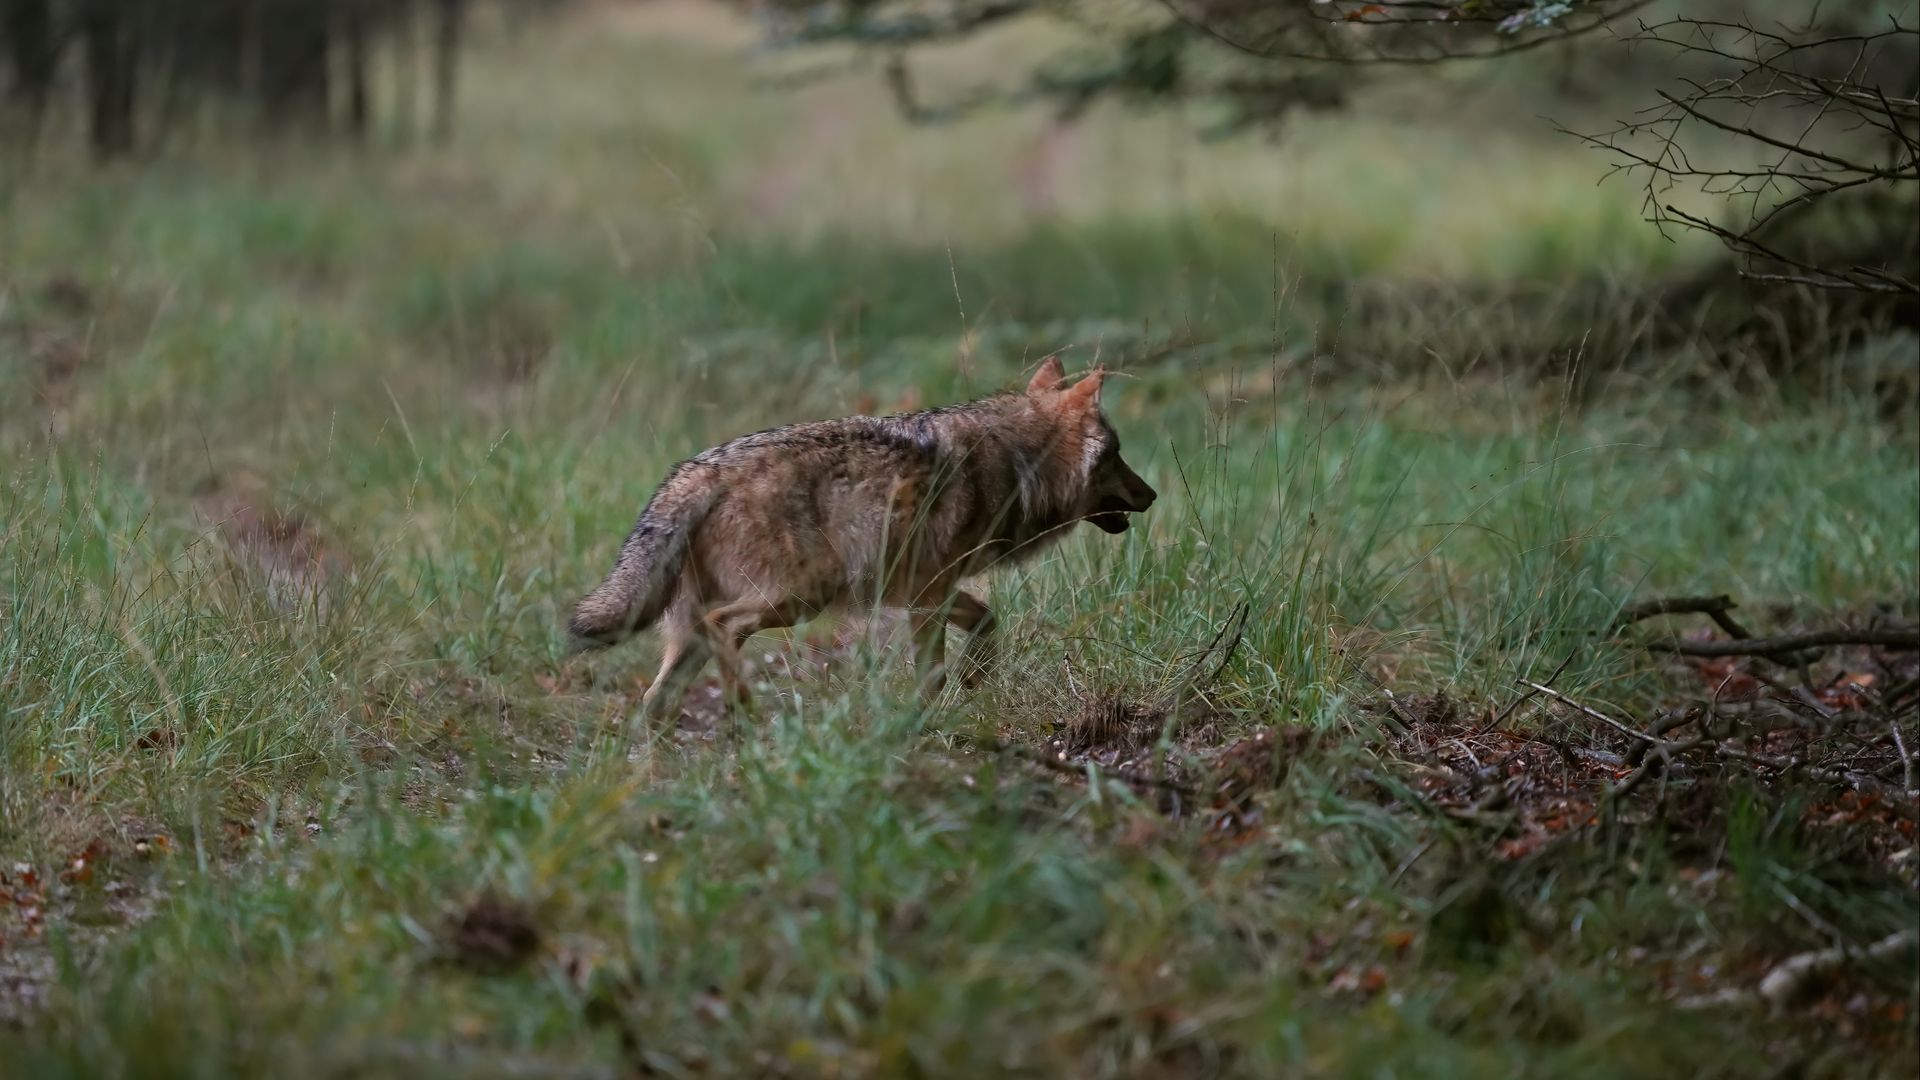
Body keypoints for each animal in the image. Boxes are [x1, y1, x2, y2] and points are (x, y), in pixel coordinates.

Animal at [568, 356, 1156, 720]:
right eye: (1117, 453)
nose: (1152, 494)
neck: (1017, 463)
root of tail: (696, 472)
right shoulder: (926, 598)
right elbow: (933, 674)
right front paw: (923, 720)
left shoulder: (927, 591)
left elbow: (988, 623)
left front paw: (973, 680)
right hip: (799, 599)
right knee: (724, 630)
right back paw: (747, 718)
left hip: (702, 629)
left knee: (652, 702)